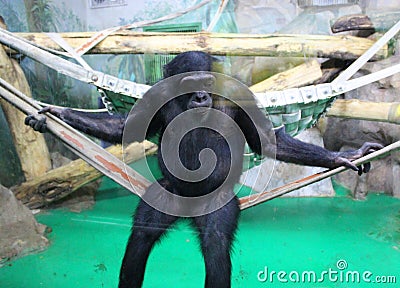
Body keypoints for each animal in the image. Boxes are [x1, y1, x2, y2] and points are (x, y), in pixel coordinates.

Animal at [25, 50, 384, 286]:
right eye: (189, 81)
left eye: (206, 80)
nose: (199, 95)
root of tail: (188, 212)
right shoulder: (155, 96)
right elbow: (125, 127)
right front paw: (55, 114)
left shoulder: (242, 97)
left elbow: (268, 142)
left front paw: (343, 157)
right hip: (166, 195)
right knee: (143, 233)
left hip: (217, 203)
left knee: (214, 243)